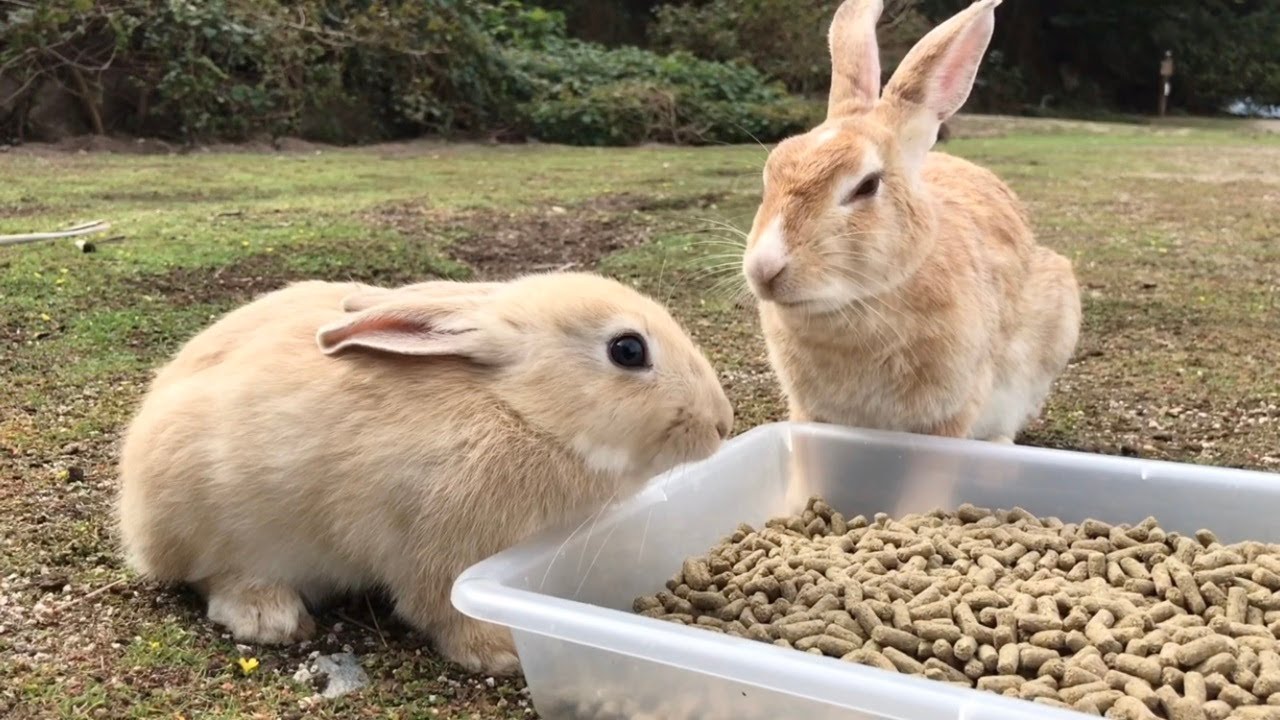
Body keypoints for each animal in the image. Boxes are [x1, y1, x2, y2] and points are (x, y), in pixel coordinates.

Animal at [116, 272, 734, 675]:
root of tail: (134, 520)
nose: (723, 424)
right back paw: (269, 617)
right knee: (211, 577)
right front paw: (503, 651)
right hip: (219, 525)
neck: (522, 411)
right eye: (627, 350)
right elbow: (438, 608)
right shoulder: (439, 549)